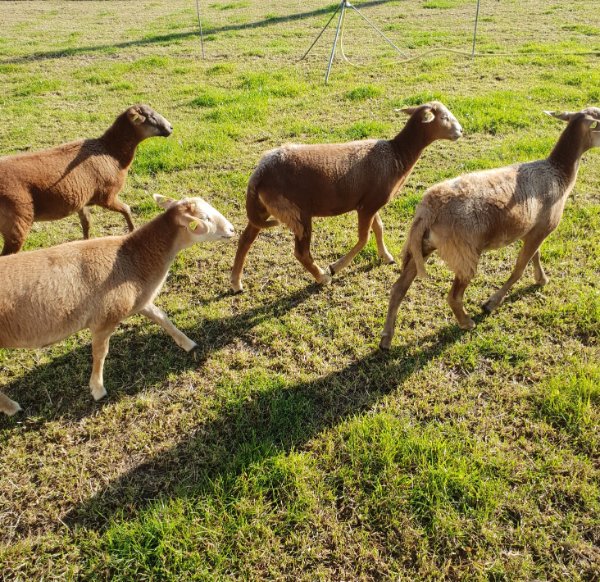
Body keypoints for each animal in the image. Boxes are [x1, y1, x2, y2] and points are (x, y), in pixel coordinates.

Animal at [0, 104, 173, 255]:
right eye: (150, 117)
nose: (171, 128)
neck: (113, 154)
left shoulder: (81, 200)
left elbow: (87, 223)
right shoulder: (107, 196)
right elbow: (126, 208)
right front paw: (132, 231)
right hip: (17, 221)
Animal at [0, 195, 235, 416]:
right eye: (205, 219)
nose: (232, 229)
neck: (135, 258)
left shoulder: (139, 300)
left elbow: (162, 317)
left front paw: (187, 343)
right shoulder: (104, 319)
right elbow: (100, 353)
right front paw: (97, 389)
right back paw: (12, 408)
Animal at [230, 102, 463, 292]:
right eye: (444, 117)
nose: (460, 131)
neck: (397, 154)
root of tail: (259, 172)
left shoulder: (372, 202)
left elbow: (379, 228)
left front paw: (386, 257)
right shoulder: (367, 206)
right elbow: (363, 238)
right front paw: (336, 267)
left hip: (264, 207)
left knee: (246, 238)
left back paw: (235, 283)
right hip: (297, 212)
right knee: (301, 253)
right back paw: (323, 277)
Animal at [379, 107, 600, 349]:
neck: (559, 173)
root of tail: (428, 210)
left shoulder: (534, 230)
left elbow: (536, 256)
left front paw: (541, 279)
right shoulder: (543, 228)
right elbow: (518, 269)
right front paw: (491, 303)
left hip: (422, 245)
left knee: (398, 288)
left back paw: (386, 338)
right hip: (463, 252)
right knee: (453, 296)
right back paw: (467, 323)